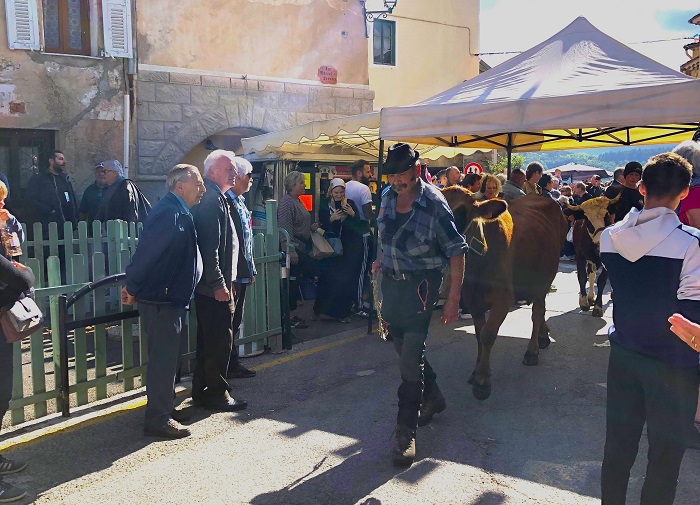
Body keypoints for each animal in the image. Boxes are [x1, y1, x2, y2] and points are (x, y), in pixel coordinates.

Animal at [442, 187, 568, 400]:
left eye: (460, 213)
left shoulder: (503, 298)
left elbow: (487, 334)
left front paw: (482, 381)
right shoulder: (472, 300)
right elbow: (478, 335)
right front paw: (476, 372)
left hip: (544, 278)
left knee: (537, 312)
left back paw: (532, 351)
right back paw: (543, 336)